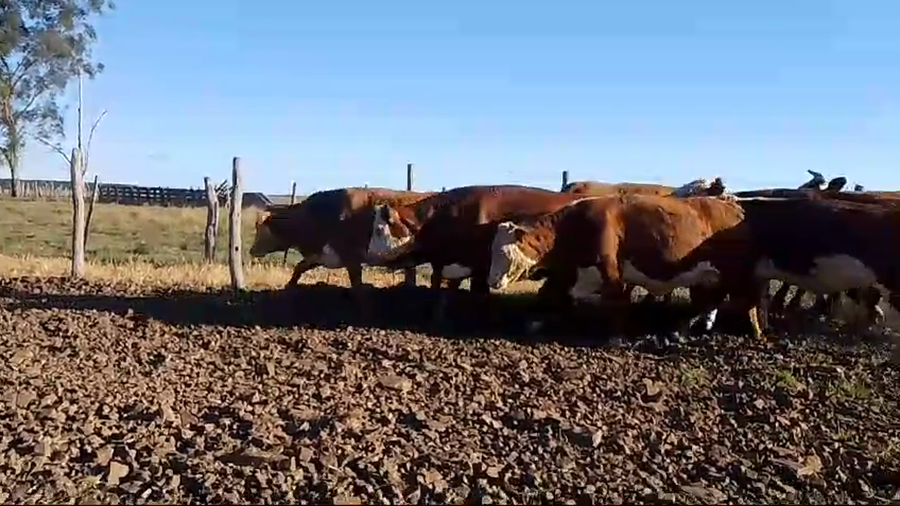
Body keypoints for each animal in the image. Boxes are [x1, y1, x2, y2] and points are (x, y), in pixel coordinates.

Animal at [249, 187, 434, 297]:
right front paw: (288, 287)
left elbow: (357, 286)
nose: (252, 250)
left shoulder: (352, 258)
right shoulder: (321, 255)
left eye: (261, 231)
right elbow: (299, 268)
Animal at [364, 185, 589, 322]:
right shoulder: (447, 263)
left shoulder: (482, 266)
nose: (368, 255)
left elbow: (479, 294)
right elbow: (443, 289)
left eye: (379, 230)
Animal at [487, 194, 762, 339]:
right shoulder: (573, 273)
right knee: (713, 299)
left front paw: (616, 338)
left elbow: (616, 304)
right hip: (711, 276)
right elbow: (549, 295)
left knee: (748, 299)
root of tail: (732, 205)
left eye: (503, 252)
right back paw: (683, 329)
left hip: (735, 271)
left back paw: (756, 332)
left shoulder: (610, 273)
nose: (492, 282)